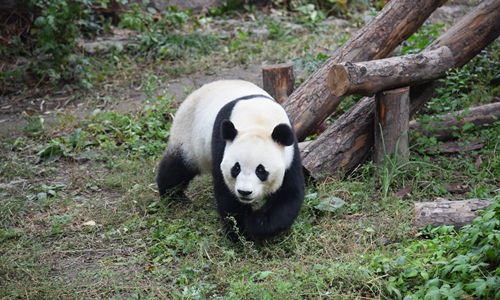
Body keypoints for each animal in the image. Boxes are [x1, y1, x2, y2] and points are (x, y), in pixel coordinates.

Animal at [156, 79, 304, 241]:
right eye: (236, 168)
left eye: (260, 170)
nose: (244, 192)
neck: (258, 121)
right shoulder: (222, 144)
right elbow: (227, 194)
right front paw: (239, 232)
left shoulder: (290, 155)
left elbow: (288, 195)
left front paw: (256, 224)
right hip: (188, 133)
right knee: (177, 167)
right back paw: (174, 197)